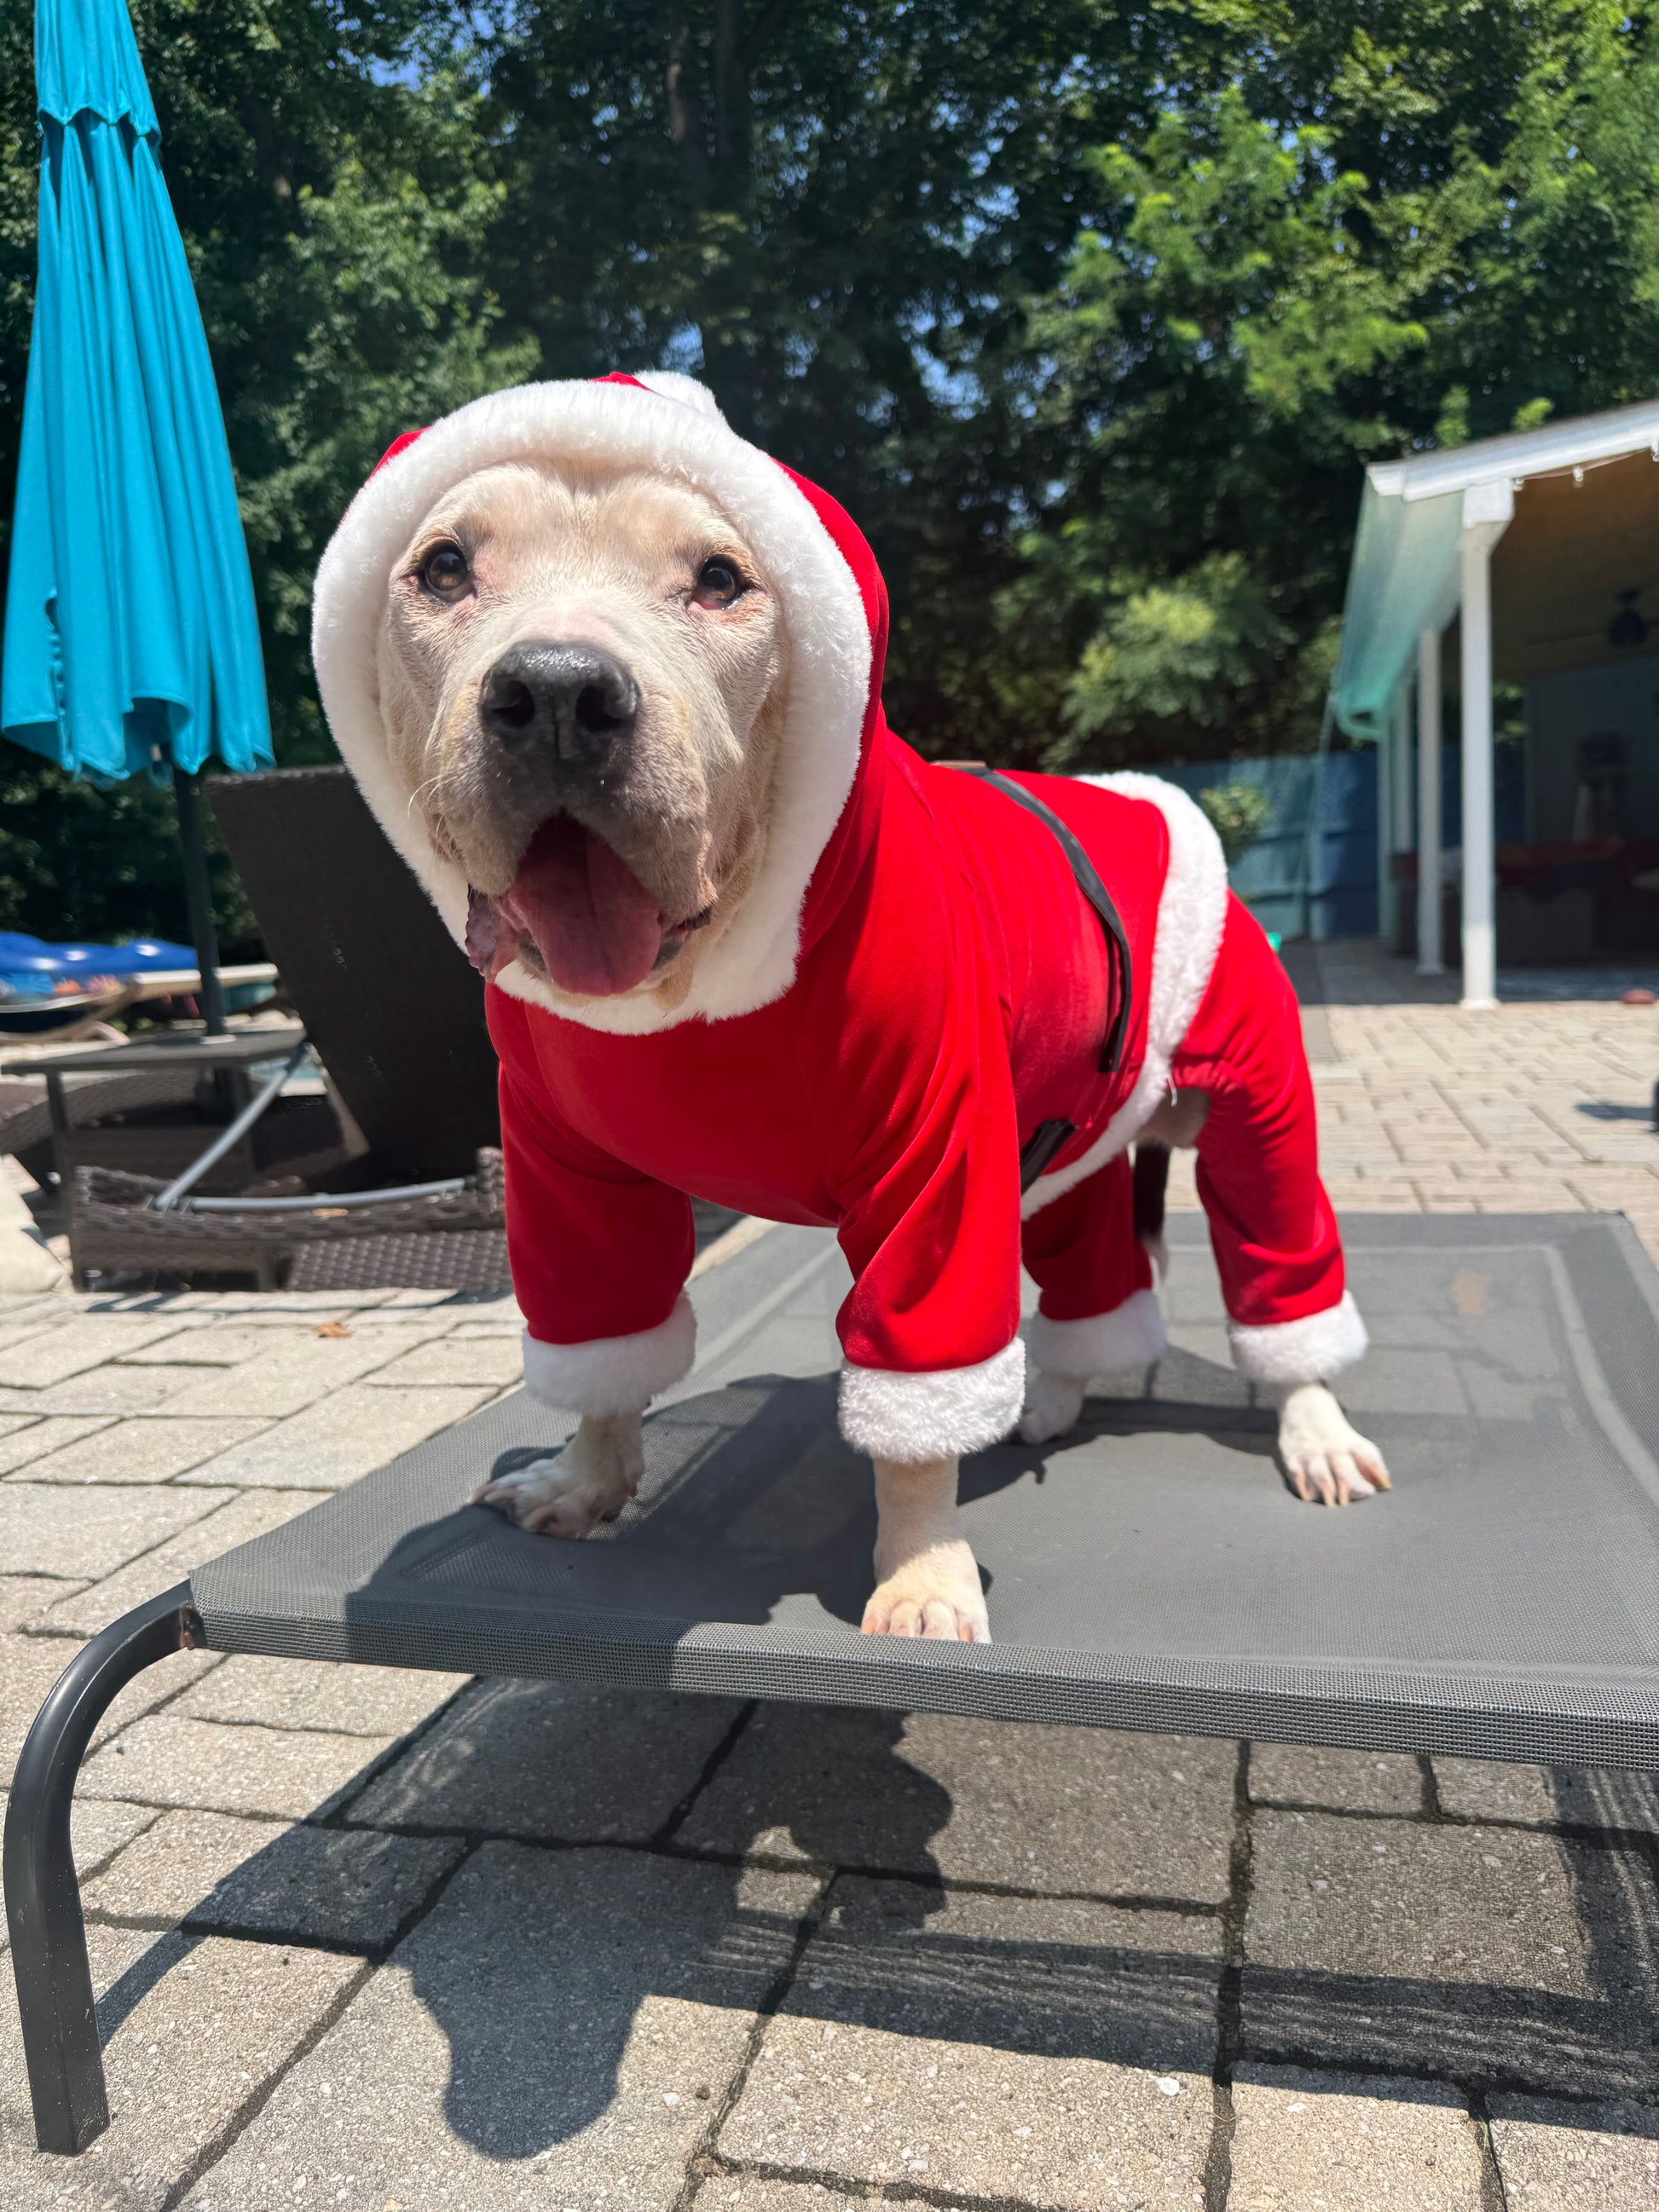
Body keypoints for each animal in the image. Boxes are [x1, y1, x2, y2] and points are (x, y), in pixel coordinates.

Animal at [313, 371, 1388, 1647]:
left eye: (719, 578)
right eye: (442, 568)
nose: (562, 690)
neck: (697, 988)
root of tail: (1152, 804)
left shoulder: (936, 1172)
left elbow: (917, 1398)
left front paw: (919, 1575)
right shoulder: (563, 1177)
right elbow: (602, 1345)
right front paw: (585, 1477)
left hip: (1253, 1114)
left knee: (1282, 1276)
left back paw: (1312, 1424)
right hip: (1066, 1150)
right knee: (1092, 1280)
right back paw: (1052, 1396)